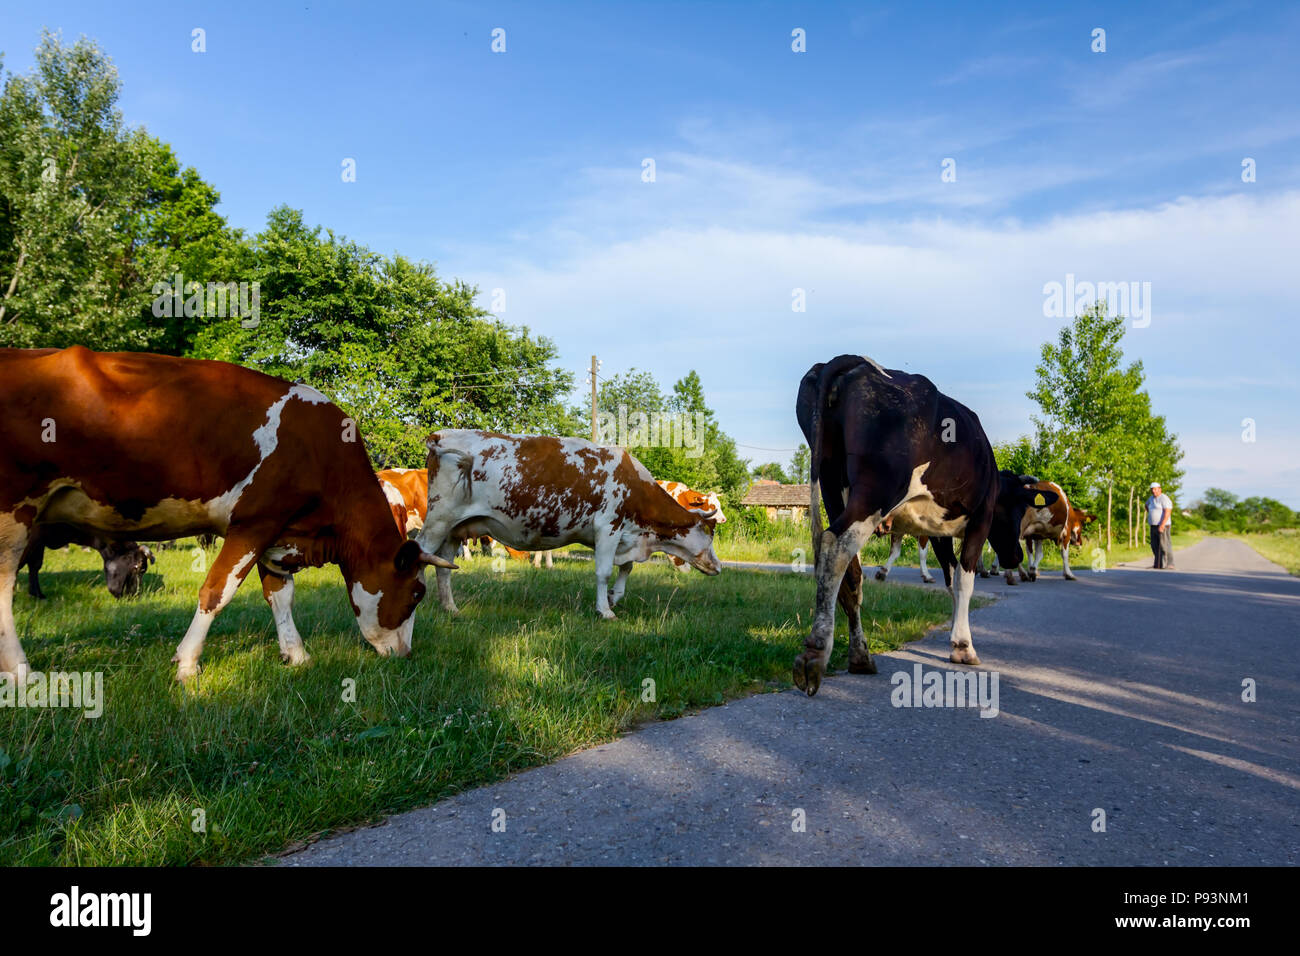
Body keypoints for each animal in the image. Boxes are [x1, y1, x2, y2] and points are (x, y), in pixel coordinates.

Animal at [0, 348, 452, 686]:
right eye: (416, 593)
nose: (405, 654)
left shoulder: (278, 533)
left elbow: (280, 594)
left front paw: (297, 654)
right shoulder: (254, 523)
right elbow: (217, 591)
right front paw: (187, 664)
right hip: (15, 511)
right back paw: (22, 673)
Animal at [416, 429, 722, 616]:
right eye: (709, 535)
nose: (718, 566)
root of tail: (441, 434)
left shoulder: (626, 536)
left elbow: (626, 568)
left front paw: (614, 597)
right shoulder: (608, 528)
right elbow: (604, 572)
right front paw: (605, 610)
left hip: (456, 528)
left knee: (444, 566)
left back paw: (450, 607)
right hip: (439, 519)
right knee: (421, 552)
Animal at [790, 356, 1055, 697]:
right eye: (1020, 510)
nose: (1015, 557)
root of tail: (854, 361)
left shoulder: (937, 528)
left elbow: (951, 578)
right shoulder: (980, 519)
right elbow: (964, 580)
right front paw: (963, 646)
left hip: (832, 484)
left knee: (852, 572)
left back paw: (860, 655)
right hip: (877, 489)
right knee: (834, 545)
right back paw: (816, 653)